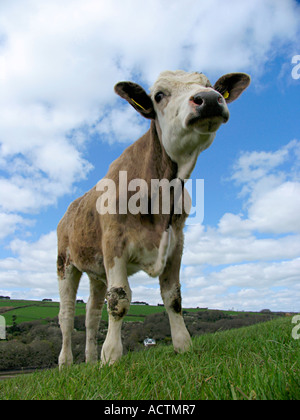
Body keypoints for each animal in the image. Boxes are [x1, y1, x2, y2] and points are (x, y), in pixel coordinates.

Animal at [57, 70, 250, 366]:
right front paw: (111, 356)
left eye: (210, 86)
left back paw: (89, 361)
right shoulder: (114, 243)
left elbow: (173, 297)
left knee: (91, 314)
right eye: (159, 95)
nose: (208, 99)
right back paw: (66, 363)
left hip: (95, 271)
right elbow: (119, 299)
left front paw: (183, 345)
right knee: (67, 315)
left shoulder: (176, 242)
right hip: (65, 263)